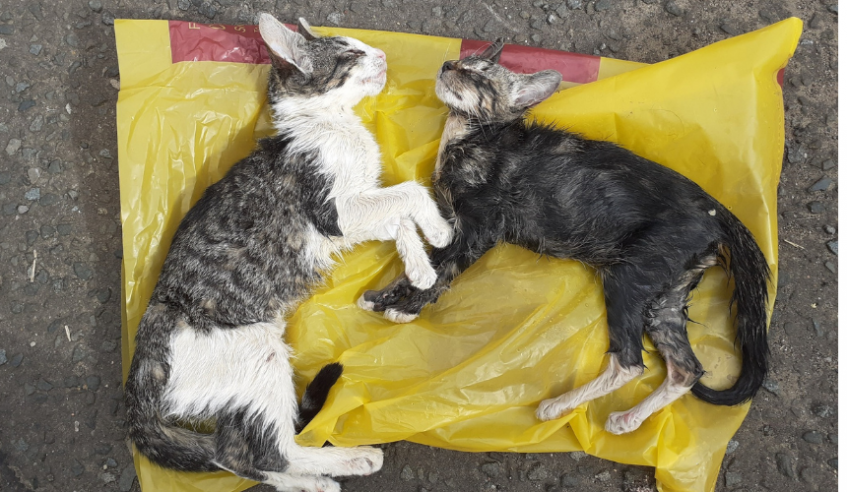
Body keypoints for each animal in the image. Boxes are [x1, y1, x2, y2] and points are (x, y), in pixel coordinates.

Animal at [123, 13, 454, 490]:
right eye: (349, 53)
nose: (382, 54)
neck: (332, 124)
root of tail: (140, 372)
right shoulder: (334, 213)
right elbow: (408, 191)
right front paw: (441, 233)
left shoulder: (352, 215)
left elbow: (398, 217)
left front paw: (419, 264)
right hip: (259, 353)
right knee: (262, 451)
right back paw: (341, 467)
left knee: (236, 453)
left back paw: (325, 473)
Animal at [362, 41, 772, 434]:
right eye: (464, 62)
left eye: (478, 77)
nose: (449, 65)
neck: (469, 136)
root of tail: (713, 209)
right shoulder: (451, 225)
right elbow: (423, 266)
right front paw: (382, 296)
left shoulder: (482, 229)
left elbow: (444, 272)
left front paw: (407, 309)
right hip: (666, 296)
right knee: (685, 369)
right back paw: (626, 420)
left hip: (628, 276)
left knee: (629, 364)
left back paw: (557, 406)